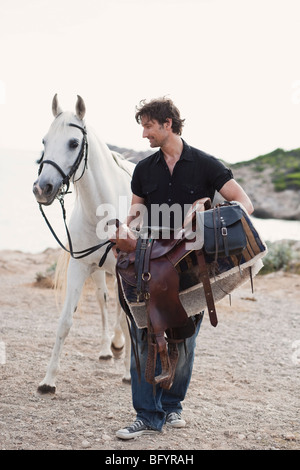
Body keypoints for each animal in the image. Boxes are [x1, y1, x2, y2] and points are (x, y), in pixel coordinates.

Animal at [32, 94, 134, 392]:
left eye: (73, 143)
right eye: (44, 141)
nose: (42, 189)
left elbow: (129, 320)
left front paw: (129, 374)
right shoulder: (80, 266)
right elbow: (65, 321)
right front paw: (48, 380)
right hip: (99, 271)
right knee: (104, 301)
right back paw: (108, 348)